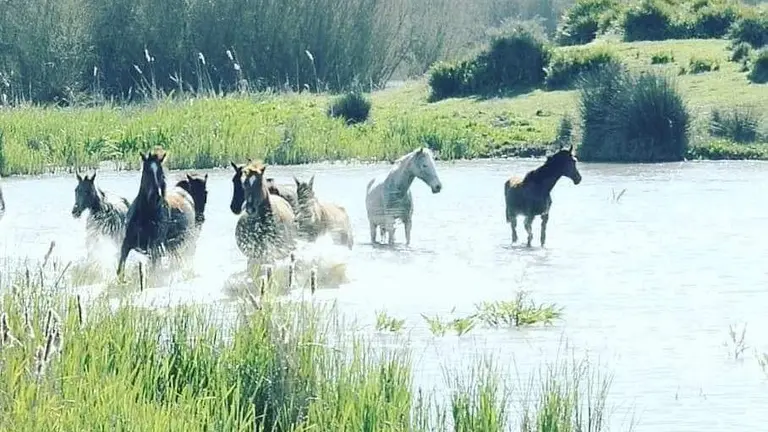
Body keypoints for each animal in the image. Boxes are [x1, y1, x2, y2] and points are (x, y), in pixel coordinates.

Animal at [116, 148, 197, 279]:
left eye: (161, 174)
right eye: (147, 172)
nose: (156, 196)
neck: (145, 216)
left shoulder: (154, 247)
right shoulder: (127, 243)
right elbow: (120, 269)